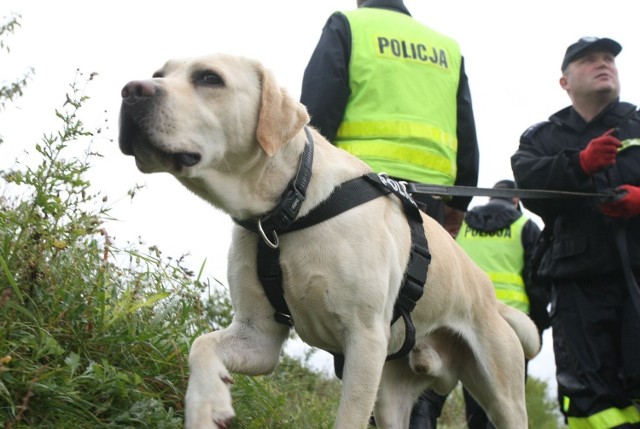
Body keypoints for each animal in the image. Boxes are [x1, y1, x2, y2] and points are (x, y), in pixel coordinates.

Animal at [119, 53, 540, 428]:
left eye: (210, 78)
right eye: (158, 74)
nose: (130, 90)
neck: (289, 208)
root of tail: (493, 300)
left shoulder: (364, 340)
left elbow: (348, 418)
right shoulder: (258, 336)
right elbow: (201, 345)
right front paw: (207, 406)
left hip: (501, 395)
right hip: (391, 396)